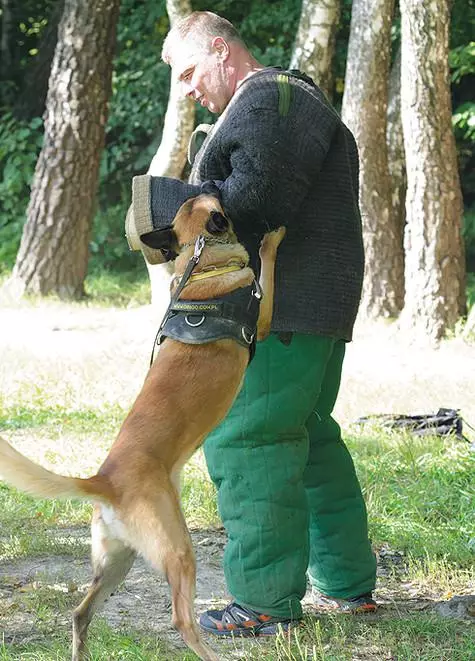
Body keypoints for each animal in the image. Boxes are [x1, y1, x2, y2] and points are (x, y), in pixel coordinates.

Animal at [0, 195, 284, 660]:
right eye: (218, 198)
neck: (200, 265)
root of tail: (103, 481)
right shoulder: (261, 318)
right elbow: (270, 267)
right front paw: (271, 241)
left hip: (118, 561)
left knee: (80, 613)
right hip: (177, 549)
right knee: (181, 620)